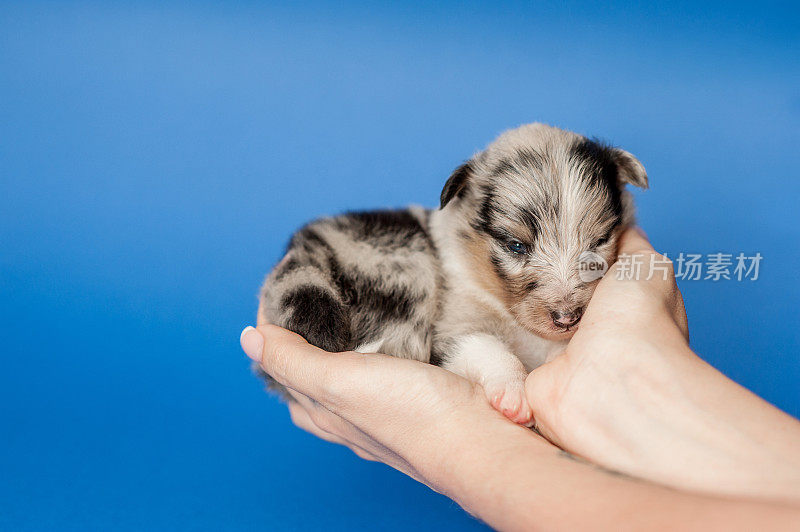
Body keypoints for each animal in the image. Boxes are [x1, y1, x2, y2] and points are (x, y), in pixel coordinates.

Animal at [260, 123, 648, 424]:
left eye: (599, 241)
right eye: (516, 246)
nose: (568, 319)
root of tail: (306, 244)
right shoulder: (455, 326)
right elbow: (488, 349)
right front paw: (514, 393)